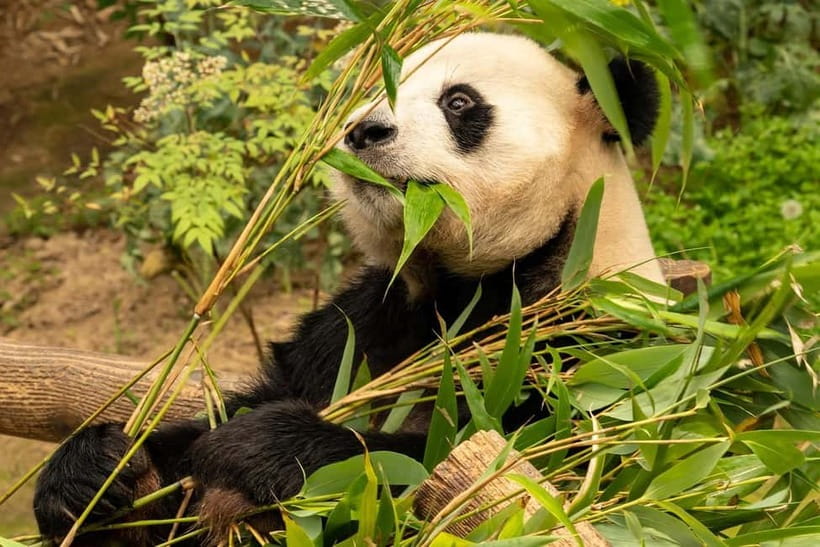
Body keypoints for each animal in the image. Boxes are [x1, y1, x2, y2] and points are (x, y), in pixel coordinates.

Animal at [33, 32, 661, 545]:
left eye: (458, 101)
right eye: (379, 85)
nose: (363, 130)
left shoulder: (586, 353)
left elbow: (487, 467)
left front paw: (261, 447)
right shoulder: (364, 321)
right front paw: (98, 473)